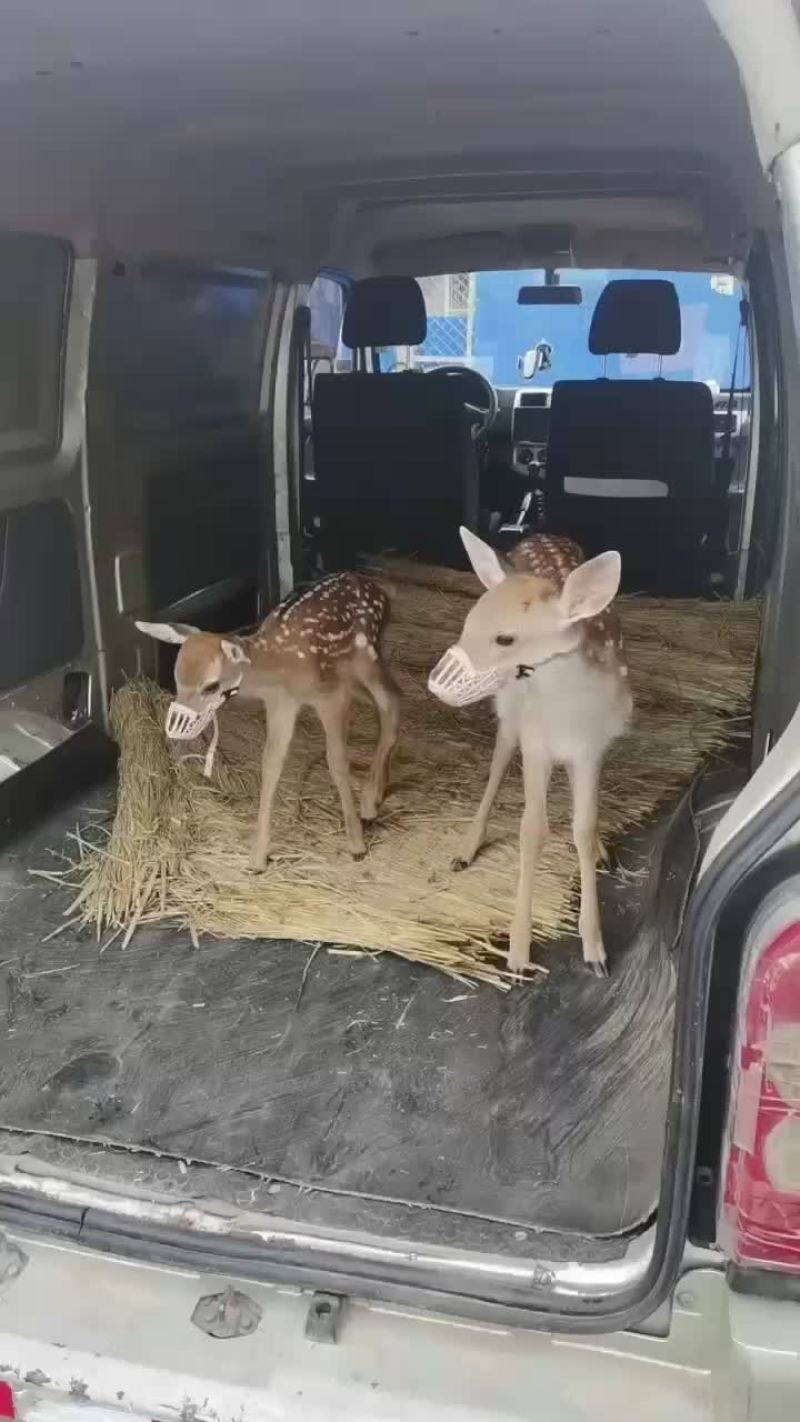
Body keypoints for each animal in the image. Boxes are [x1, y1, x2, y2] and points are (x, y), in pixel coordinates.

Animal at [135, 571, 400, 867]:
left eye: (211, 686)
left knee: (392, 702)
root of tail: (381, 588)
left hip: (366, 657)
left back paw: (368, 803)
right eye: (177, 678)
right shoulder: (281, 703)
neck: (279, 665)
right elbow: (271, 763)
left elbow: (337, 762)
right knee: (388, 703)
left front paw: (356, 844)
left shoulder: (330, 696)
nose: (173, 727)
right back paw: (378, 792)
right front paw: (258, 858)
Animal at [428, 529, 632, 979]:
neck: (568, 716)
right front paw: (519, 953)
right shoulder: (535, 741)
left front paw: (595, 949)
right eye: (468, 621)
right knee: (498, 762)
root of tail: (540, 533)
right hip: (509, 712)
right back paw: (465, 850)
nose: (434, 683)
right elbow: (531, 829)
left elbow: (583, 828)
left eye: (506, 638)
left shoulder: (592, 748)